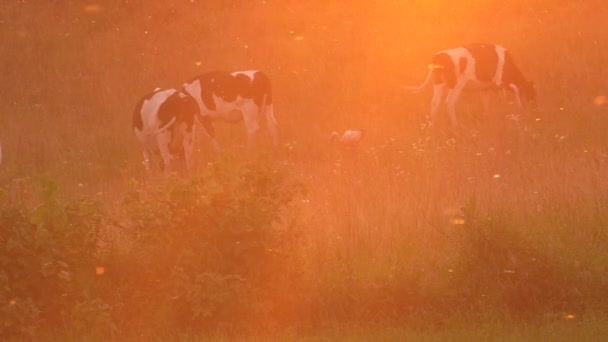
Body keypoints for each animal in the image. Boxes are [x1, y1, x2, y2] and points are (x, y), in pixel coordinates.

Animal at [406, 43, 536, 127]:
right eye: (532, 93)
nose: (534, 108)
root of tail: (440, 55)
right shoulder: (500, 81)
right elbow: (516, 88)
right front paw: (519, 107)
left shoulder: (485, 88)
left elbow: (485, 103)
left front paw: (486, 118)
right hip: (458, 84)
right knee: (449, 102)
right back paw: (456, 125)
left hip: (439, 84)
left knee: (434, 102)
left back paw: (432, 126)